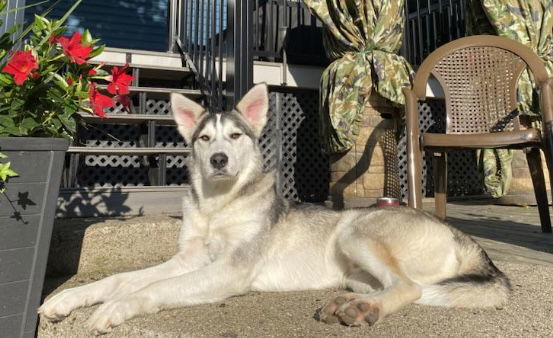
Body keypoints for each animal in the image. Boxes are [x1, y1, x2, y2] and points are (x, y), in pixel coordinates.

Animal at [41, 84, 512, 332]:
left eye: (235, 136)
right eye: (204, 139)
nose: (218, 160)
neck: (218, 206)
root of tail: (465, 239)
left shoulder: (228, 271)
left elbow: (150, 289)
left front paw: (114, 308)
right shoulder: (187, 259)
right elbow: (121, 279)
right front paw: (69, 299)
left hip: (355, 230)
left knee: (408, 288)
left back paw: (365, 310)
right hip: (355, 270)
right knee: (391, 285)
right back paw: (347, 303)